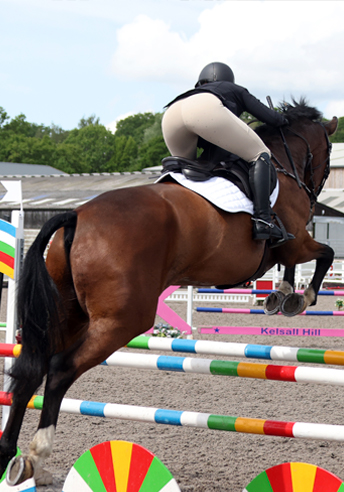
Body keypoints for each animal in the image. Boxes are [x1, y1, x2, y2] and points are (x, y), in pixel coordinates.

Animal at [0, 100, 338, 484]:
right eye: (328, 155)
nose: (315, 194)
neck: (282, 166)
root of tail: (76, 215)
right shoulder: (297, 241)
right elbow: (325, 253)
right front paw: (298, 298)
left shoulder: (291, 246)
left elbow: (298, 263)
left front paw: (281, 294)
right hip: (121, 321)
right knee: (59, 371)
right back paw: (37, 454)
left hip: (67, 314)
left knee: (33, 369)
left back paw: (12, 456)